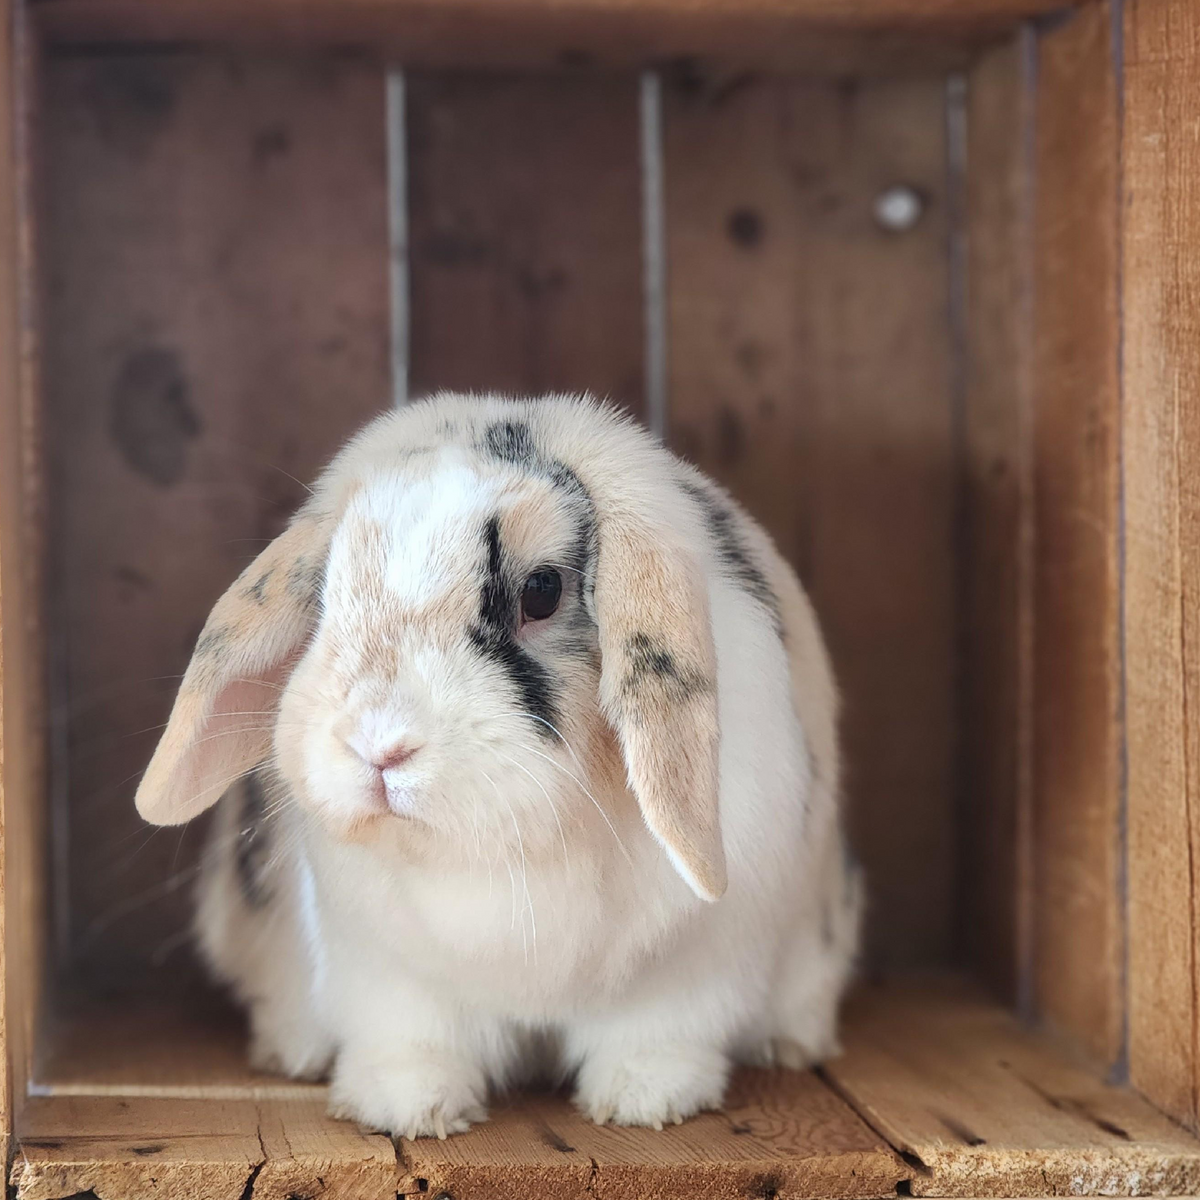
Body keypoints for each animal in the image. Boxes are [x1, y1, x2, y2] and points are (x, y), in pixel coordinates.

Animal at [136, 393, 862, 1139]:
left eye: (540, 590)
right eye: (326, 593)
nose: (379, 745)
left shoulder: (693, 966)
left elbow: (659, 1033)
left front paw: (644, 1099)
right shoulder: (387, 974)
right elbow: (412, 1038)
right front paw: (409, 1108)